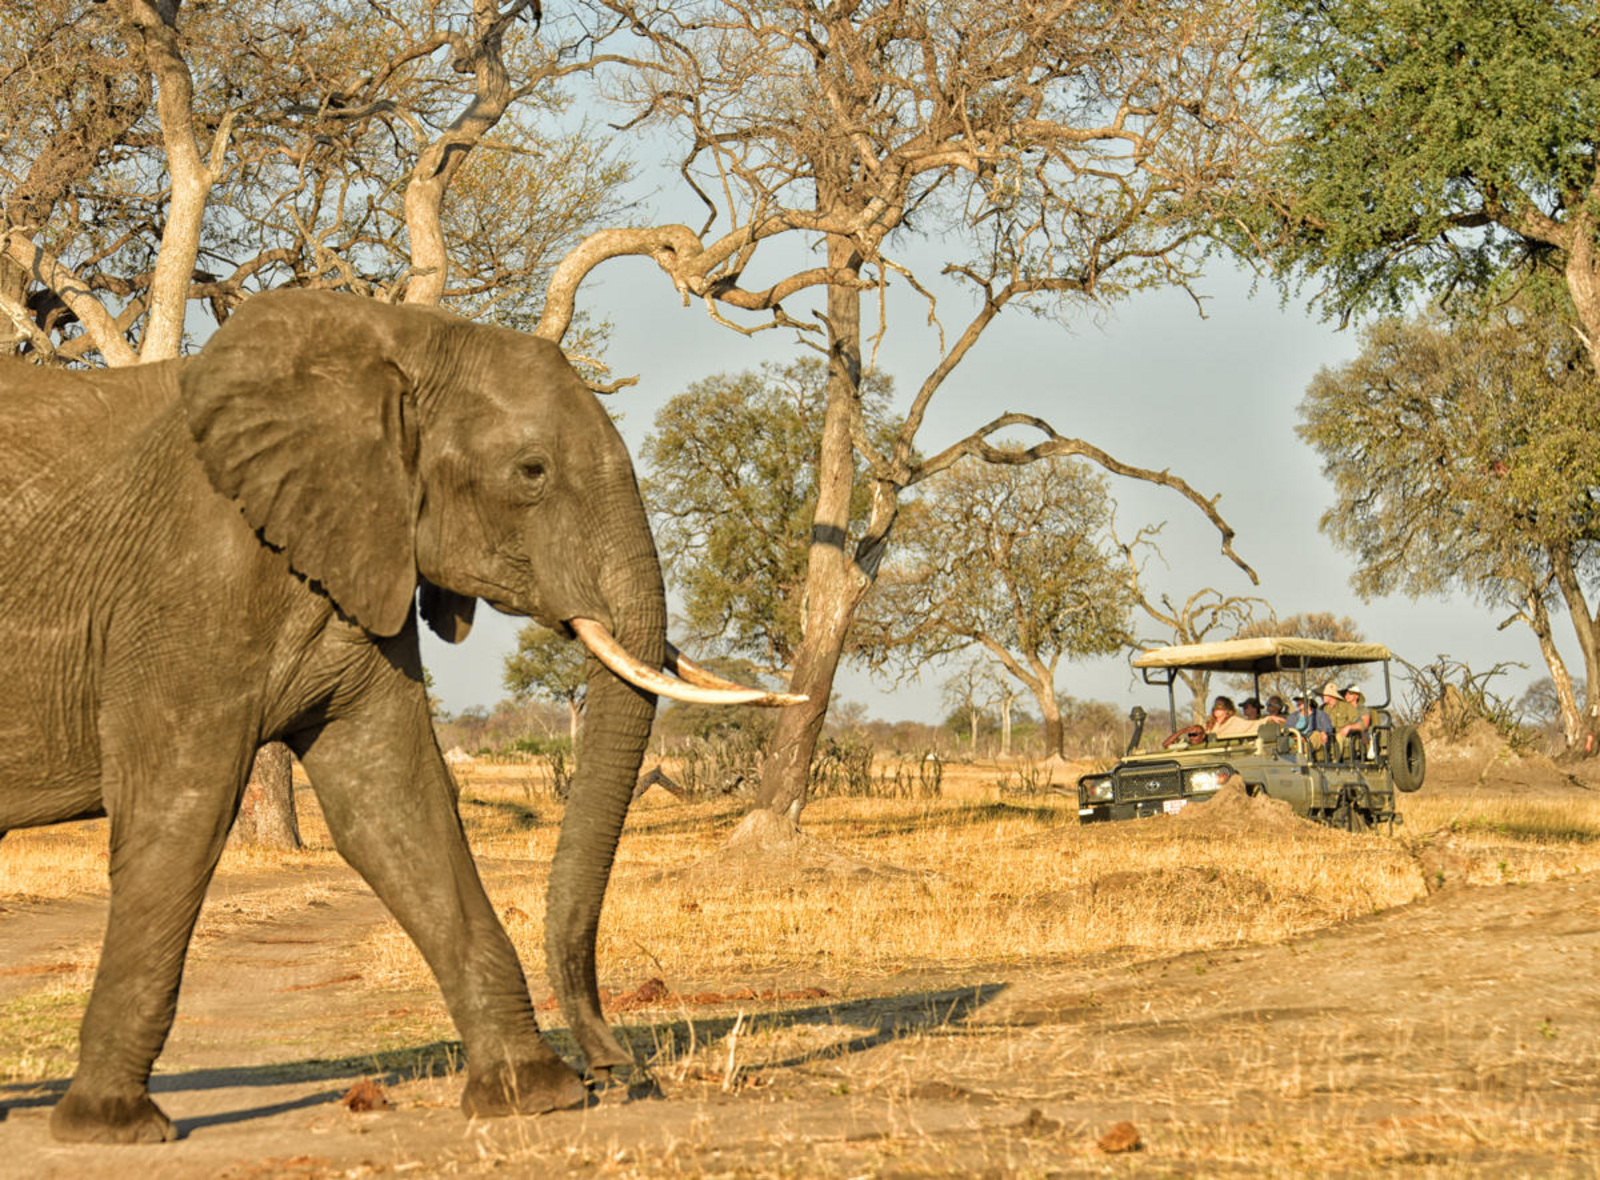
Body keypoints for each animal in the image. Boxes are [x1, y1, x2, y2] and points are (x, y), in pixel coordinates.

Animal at [0, 288, 797, 1144]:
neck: (391, 341)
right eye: (532, 472)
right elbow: (181, 809)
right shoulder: (191, 579)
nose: (618, 1071)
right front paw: (112, 1126)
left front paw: (534, 1095)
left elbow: (393, 804)